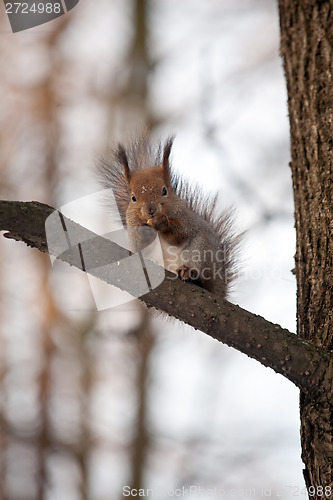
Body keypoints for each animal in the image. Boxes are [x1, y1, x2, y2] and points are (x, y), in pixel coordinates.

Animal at [96, 136, 239, 296]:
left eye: (164, 190)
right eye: (133, 197)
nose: (151, 210)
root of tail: (220, 288)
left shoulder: (186, 218)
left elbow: (181, 233)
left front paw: (162, 222)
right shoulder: (132, 224)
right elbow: (138, 247)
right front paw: (144, 232)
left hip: (202, 248)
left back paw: (189, 272)